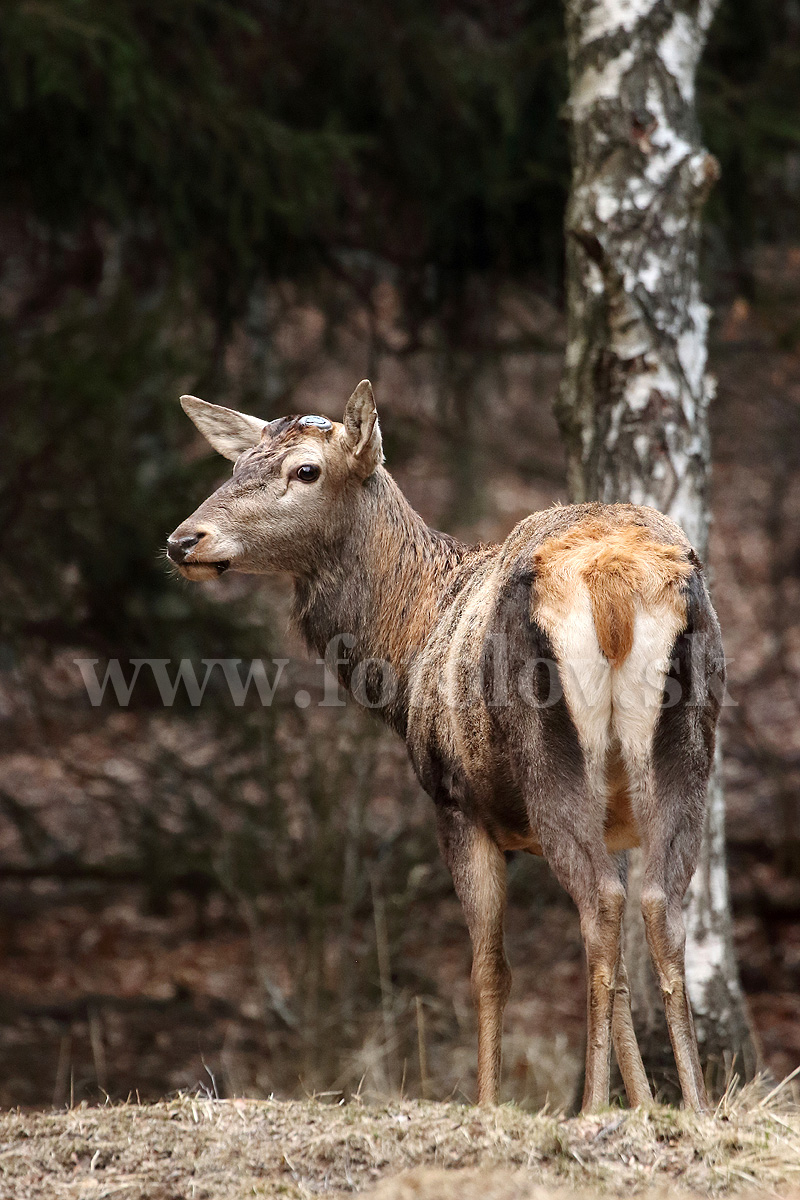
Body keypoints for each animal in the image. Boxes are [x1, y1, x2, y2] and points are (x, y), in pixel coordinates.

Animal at [169, 379, 724, 1108]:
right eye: (238, 464)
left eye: (305, 470)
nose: (183, 539)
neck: (408, 653)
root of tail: (613, 582)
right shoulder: (616, 820)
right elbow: (623, 976)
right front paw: (644, 1108)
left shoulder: (456, 803)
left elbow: (489, 970)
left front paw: (489, 1103)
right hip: (686, 752)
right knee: (661, 905)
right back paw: (698, 1108)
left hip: (547, 756)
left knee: (600, 902)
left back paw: (589, 1108)